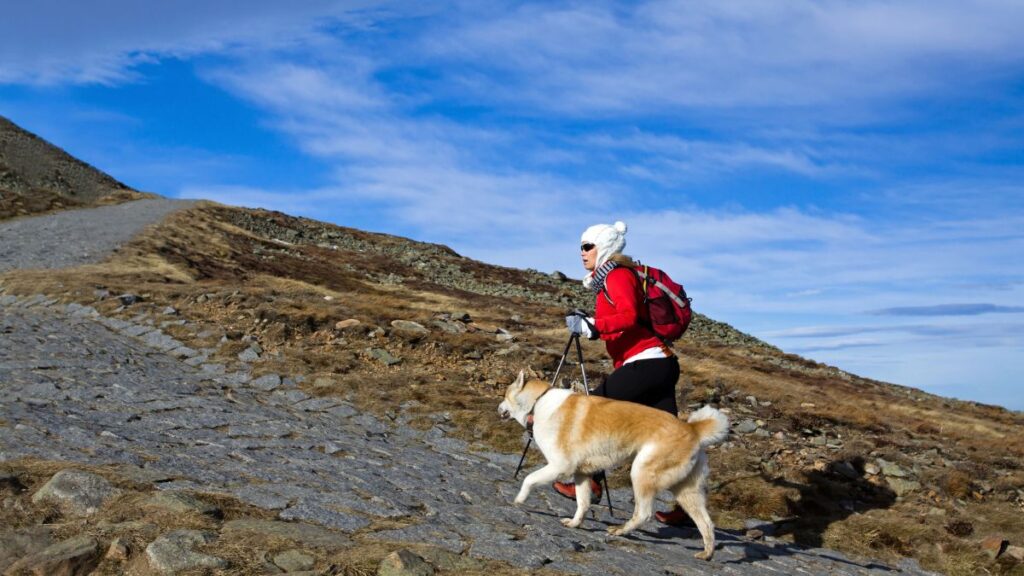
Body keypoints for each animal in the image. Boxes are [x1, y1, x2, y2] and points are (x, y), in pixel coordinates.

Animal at [501, 368, 729, 557]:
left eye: (504, 395)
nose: (498, 406)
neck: (538, 403)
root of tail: (693, 429)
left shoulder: (560, 466)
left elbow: (529, 479)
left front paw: (519, 500)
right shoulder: (581, 474)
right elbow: (583, 503)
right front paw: (575, 523)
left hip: (641, 473)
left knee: (644, 514)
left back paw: (620, 530)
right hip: (686, 491)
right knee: (706, 523)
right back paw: (707, 554)